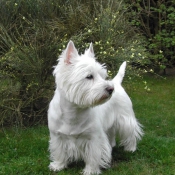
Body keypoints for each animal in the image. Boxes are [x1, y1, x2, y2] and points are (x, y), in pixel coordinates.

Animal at [47, 40, 142, 174]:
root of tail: (116, 82)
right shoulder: (57, 135)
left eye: (102, 75)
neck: (73, 112)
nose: (110, 89)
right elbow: (59, 151)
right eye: (89, 76)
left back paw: (131, 148)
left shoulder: (93, 138)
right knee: (111, 132)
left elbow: (93, 155)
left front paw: (90, 170)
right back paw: (112, 144)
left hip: (125, 117)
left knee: (131, 132)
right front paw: (58, 165)